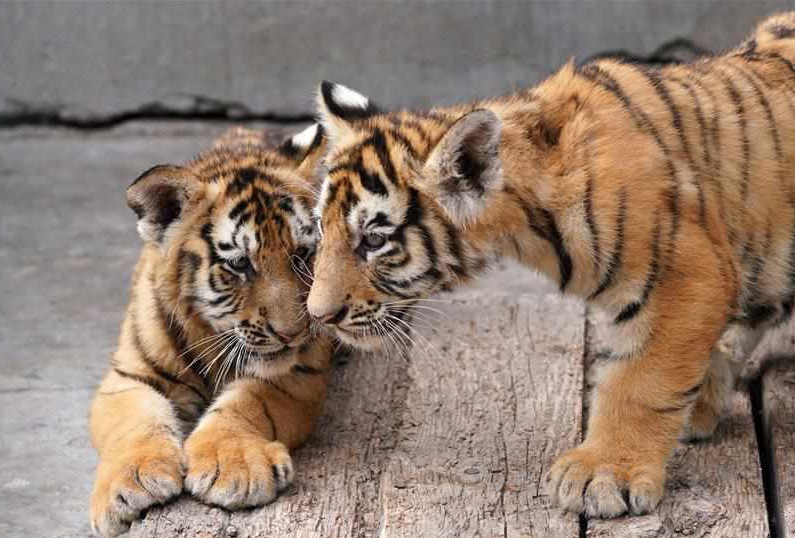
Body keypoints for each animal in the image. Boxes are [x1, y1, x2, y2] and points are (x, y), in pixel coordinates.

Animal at [89, 124, 330, 536]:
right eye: (239, 264)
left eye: (301, 255)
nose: (292, 333)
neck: (211, 336)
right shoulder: (127, 377)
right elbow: (133, 421)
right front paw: (132, 482)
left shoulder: (299, 374)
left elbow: (248, 402)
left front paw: (235, 468)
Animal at [306, 12, 795, 519]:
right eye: (322, 227)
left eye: (374, 240)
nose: (318, 315)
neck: (527, 225)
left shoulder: (686, 275)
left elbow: (639, 380)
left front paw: (605, 472)